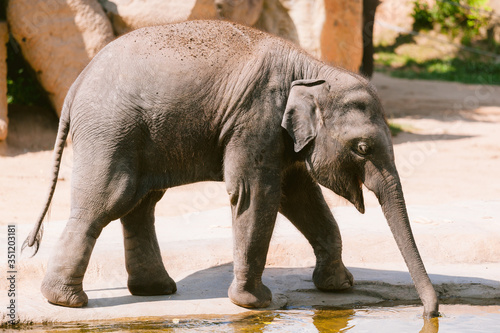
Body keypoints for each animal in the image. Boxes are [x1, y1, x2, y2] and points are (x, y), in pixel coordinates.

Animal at [23, 19, 438, 316]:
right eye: (362, 147)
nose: (430, 314)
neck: (312, 69)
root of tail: (76, 84)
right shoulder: (256, 119)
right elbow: (258, 193)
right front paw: (256, 303)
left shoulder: (279, 134)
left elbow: (299, 194)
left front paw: (339, 286)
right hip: (111, 130)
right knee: (109, 200)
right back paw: (67, 302)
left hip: (138, 134)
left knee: (141, 204)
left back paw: (155, 290)